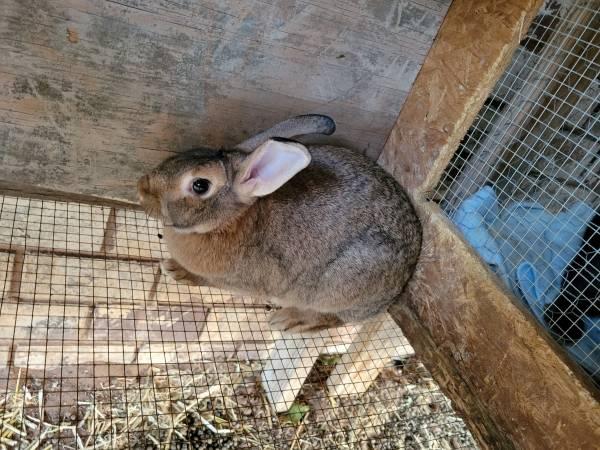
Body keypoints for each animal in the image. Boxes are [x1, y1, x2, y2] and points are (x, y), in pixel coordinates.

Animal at [138, 115, 422, 334]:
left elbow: (206, 279)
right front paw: (173, 267)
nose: (143, 188)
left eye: (200, 185)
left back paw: (287, 320)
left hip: (343, 282)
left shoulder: (239, 280)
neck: (228, 222)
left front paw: (175, 270)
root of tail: (406, 272)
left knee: (335, 317)